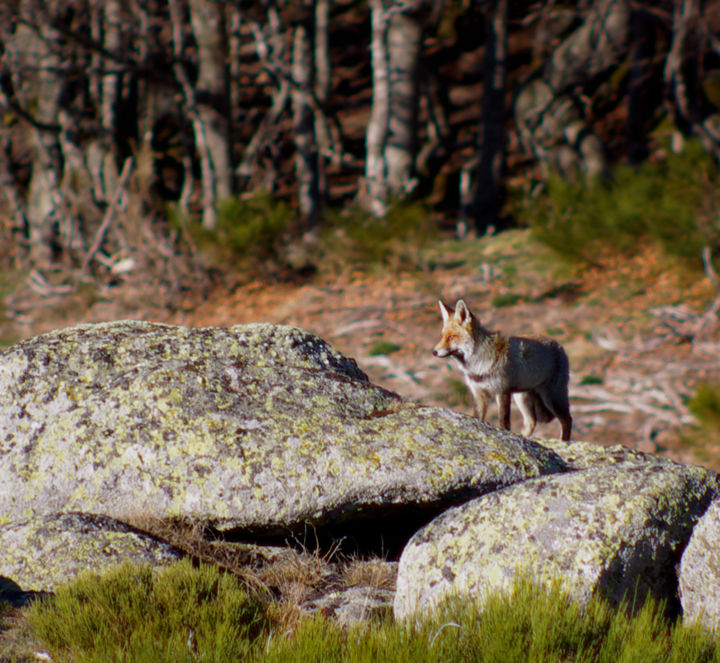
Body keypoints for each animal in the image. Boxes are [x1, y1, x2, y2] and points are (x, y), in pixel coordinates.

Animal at [434, 300, 572, 440]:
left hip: (552, 397)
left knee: (567, 420)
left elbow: (504, 423)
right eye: (442, 336)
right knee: (531, 422)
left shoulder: (502, 391)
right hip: (522, 397)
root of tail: (558, 345)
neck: (478, 367)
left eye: (451, 337)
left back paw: (564, 442)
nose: (434, 352)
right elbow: (477, 418)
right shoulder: (478, 393)